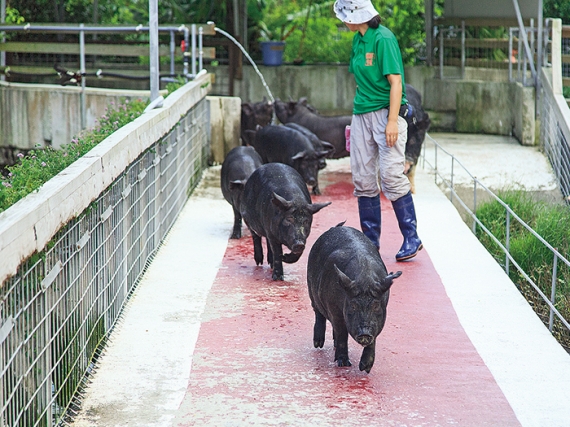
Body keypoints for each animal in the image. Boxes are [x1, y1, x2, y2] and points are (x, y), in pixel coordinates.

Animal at [306, 226, 400, 372]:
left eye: (376, 306)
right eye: (353, 306)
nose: (365, 333)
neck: (365, 280)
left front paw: (365, 368)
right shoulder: (334, 310)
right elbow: (342, 333)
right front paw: (344, 364)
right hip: (311, 288)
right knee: (318, 313)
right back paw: (318, 344)